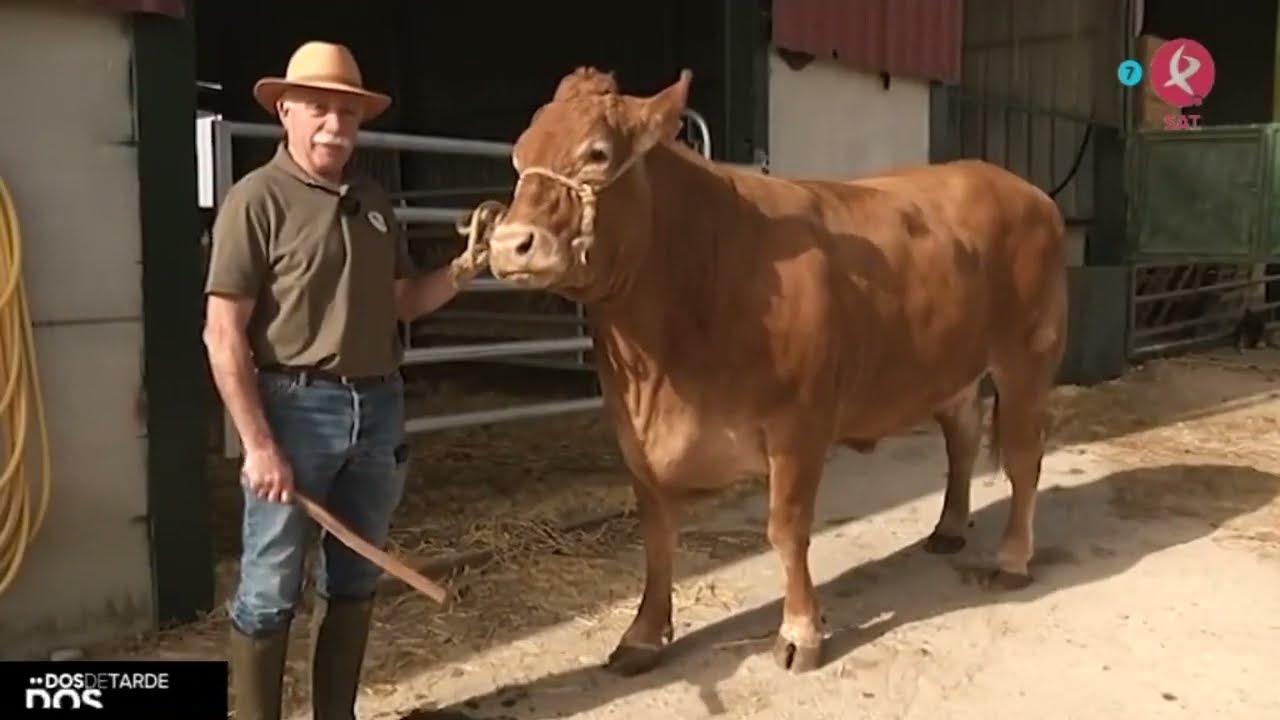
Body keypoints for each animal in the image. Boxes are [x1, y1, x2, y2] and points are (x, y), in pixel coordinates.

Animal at [461, 67, 1068, 676]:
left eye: (597, 153)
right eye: (519, 157)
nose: (509, 244)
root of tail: (1017, 185)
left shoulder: (797, 424)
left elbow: (786, 528)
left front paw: (801, 632)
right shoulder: (634, 435)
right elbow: (656, 537)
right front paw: (643, 634)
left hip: (1027, 353)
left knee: (1023, 458)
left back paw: (1013, 559)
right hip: (952, 364)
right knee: (963, 436)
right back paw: (948, 527)